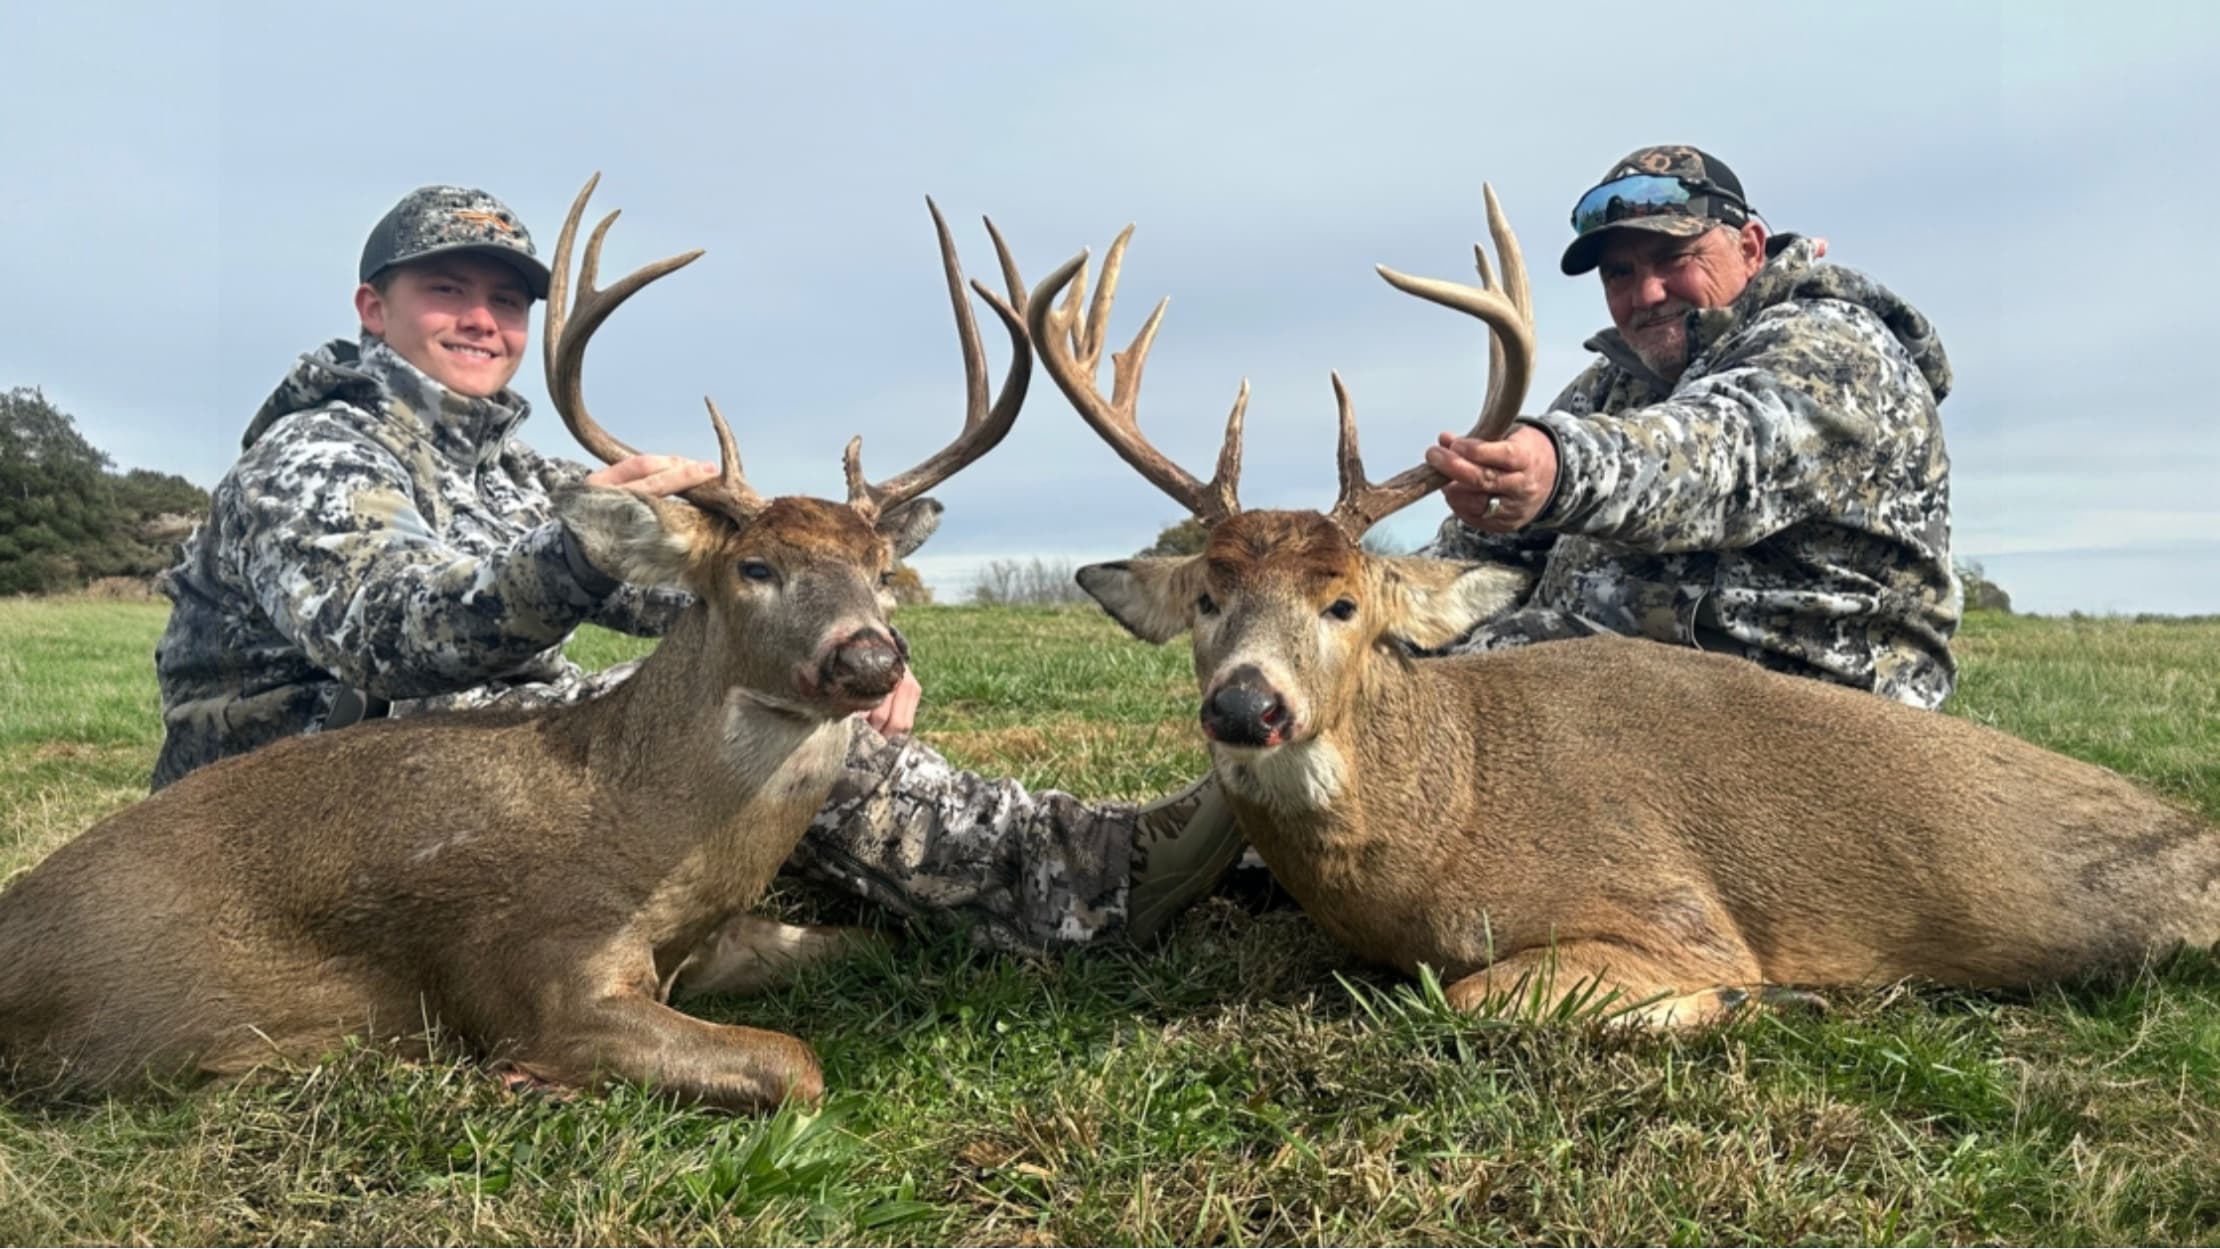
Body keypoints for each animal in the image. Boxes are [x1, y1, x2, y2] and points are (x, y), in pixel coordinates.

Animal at [0, 174, 1032, 1108]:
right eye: (755, 567)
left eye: (881, 569)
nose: (870, 658)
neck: (646, 836)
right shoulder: (541, 969)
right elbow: (796, 1062)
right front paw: (533, 1081)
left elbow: (877, 943)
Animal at [1024, 188, 2220, 1026]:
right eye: (1207, 596)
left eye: (1344, 603)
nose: (1246, 706)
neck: (1445, 818)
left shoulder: (1672, 906)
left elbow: (1468, 999)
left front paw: (1757, 999)